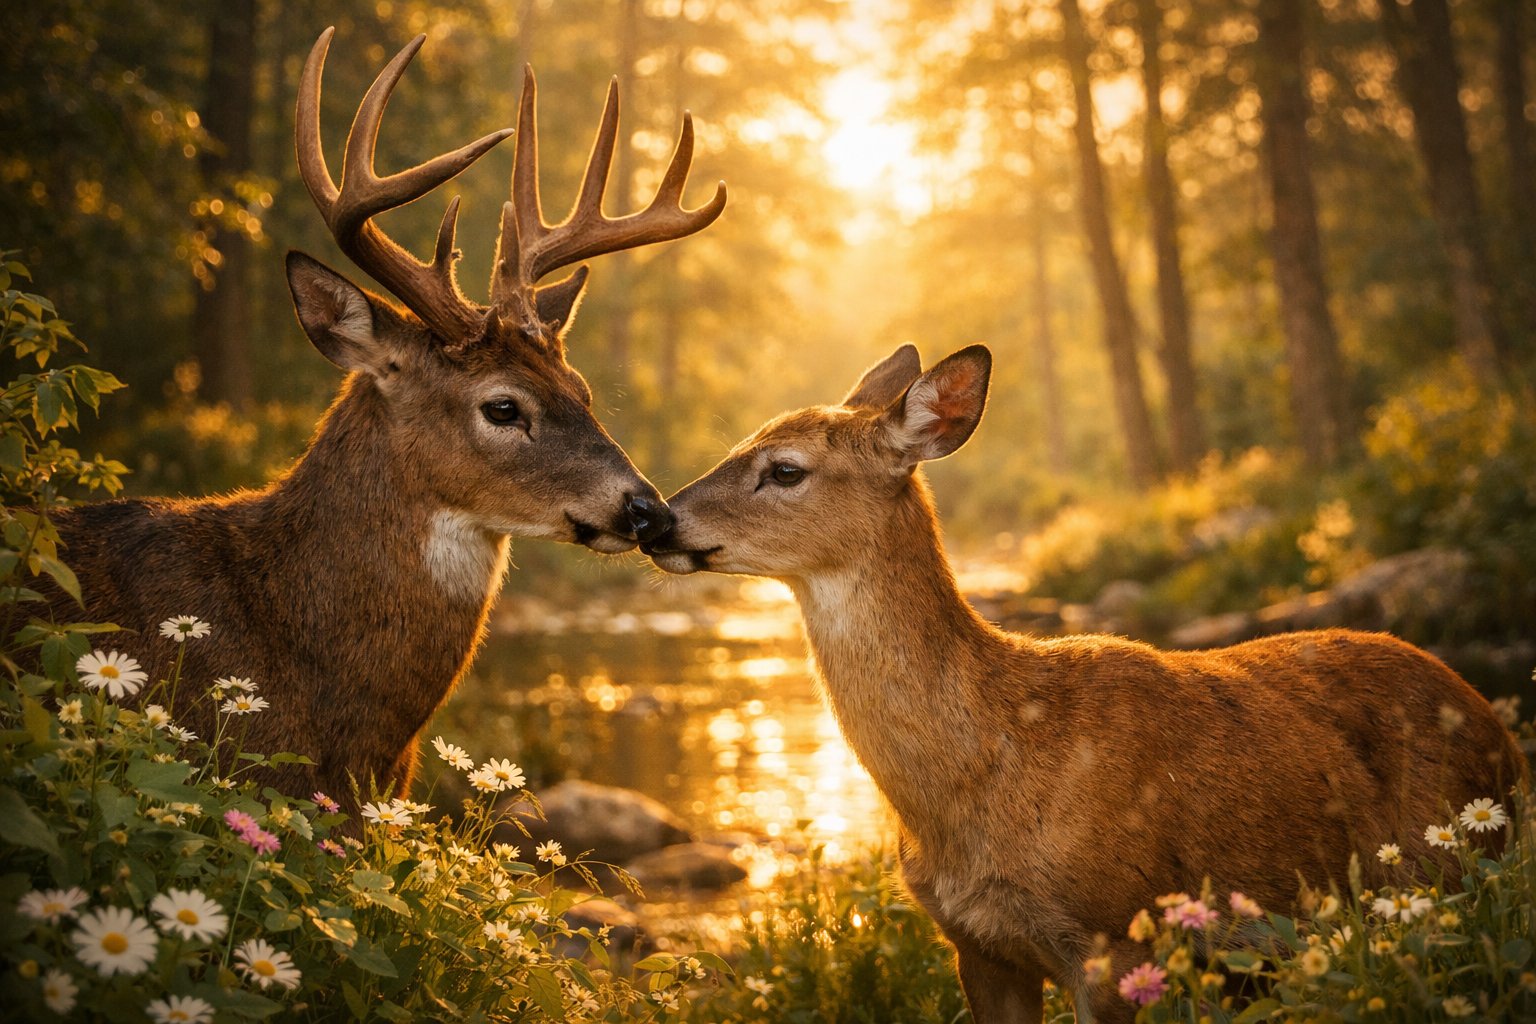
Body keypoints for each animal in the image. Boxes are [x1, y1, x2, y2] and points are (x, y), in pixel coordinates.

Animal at [643, 343, 1526, 1023]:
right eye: (743, 441)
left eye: (785, 469)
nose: (657, 520)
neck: (985, 768)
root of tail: (1498, 730)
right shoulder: (977, 946)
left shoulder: (1113, 931)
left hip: (1449, 871)